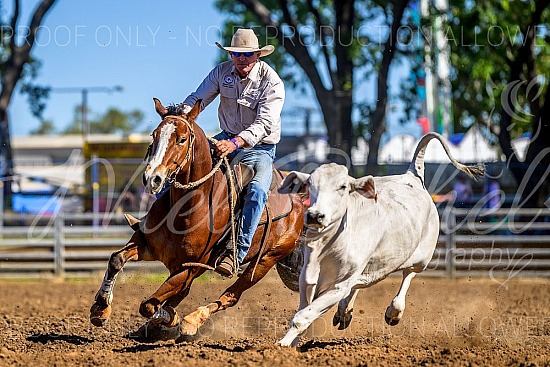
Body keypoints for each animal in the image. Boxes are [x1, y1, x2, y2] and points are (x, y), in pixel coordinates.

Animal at [90, 98, 306, 342]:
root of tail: (298, 200)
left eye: (182, 139)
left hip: (265, 261)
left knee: (230, 296)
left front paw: (171, 319)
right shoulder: (146, 245)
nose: (152, 178)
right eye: (154, 136)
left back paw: (191, 321)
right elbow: (117, 260)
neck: (188, 208)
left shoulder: (190, 267)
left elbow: (149, 305)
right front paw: (100, 308)